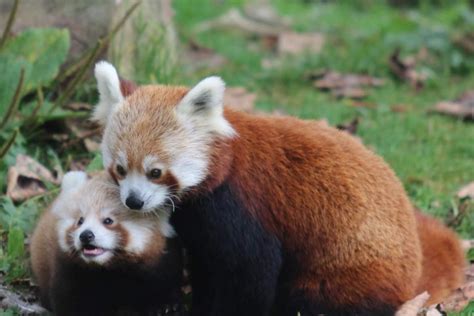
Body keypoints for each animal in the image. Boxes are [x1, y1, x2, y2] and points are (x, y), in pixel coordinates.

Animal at [29, 172, 184, 314]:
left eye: (108, 220)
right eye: (80, 221)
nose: (86, 235)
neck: (108, 270)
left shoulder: (160, 264)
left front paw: (164, 305)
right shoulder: (68, 272)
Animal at [93, 61, 466, 316]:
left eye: (155, 172)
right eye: (121, 169)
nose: (134, 201)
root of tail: (412, 269)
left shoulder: (240, 206)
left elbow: (251, 271)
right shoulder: (200, 226)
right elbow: (207, 266)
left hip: (346, 273)